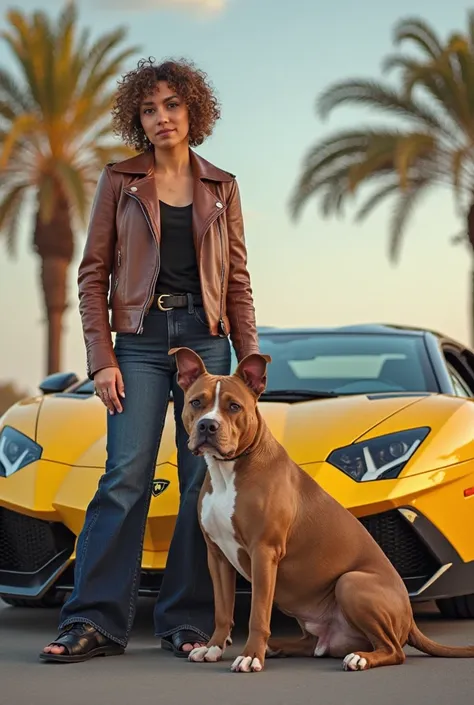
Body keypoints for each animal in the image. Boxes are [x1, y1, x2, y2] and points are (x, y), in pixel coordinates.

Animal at [169, 350, 474, 672]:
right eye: (196, 402)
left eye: (234, 406)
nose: (207, 426)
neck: (229, 470)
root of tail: (410, 617)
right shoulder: (217, 555)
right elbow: (222, 609)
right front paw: (214, 647)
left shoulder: (264, 551)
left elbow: (258, 613)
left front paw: (251, 655)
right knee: (316, 645)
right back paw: (280, 647)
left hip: (351, 582)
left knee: (394, 649)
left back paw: (359, 658)